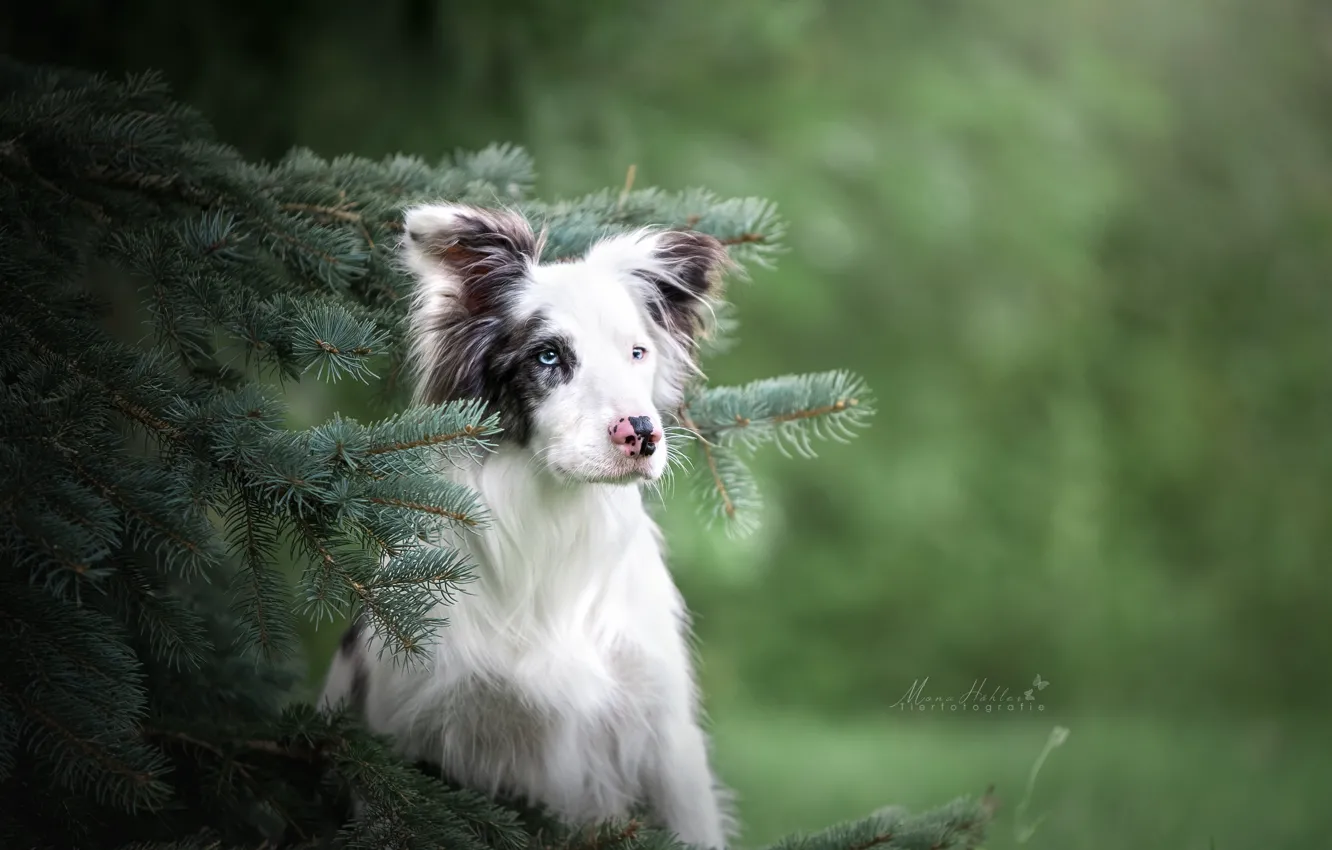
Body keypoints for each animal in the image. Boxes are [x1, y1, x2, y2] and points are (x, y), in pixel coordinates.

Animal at [325, 202, 740, 847]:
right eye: (548, 356)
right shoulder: (404, 734)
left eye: (638, 353)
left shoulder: (665, 739)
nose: (643, 434)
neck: (556, 524)